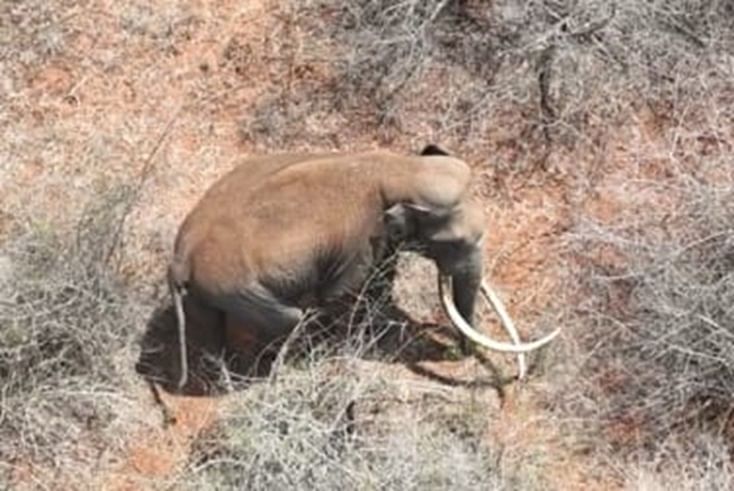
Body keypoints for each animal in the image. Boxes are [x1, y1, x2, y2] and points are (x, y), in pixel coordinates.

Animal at [167, 145, 556, 388]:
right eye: (454, 244)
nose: (458, 353)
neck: (399, 169)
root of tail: (180, 261)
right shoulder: (361, 244)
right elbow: (356, 292)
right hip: (238, 288)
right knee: (289, 319)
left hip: (210, 289)